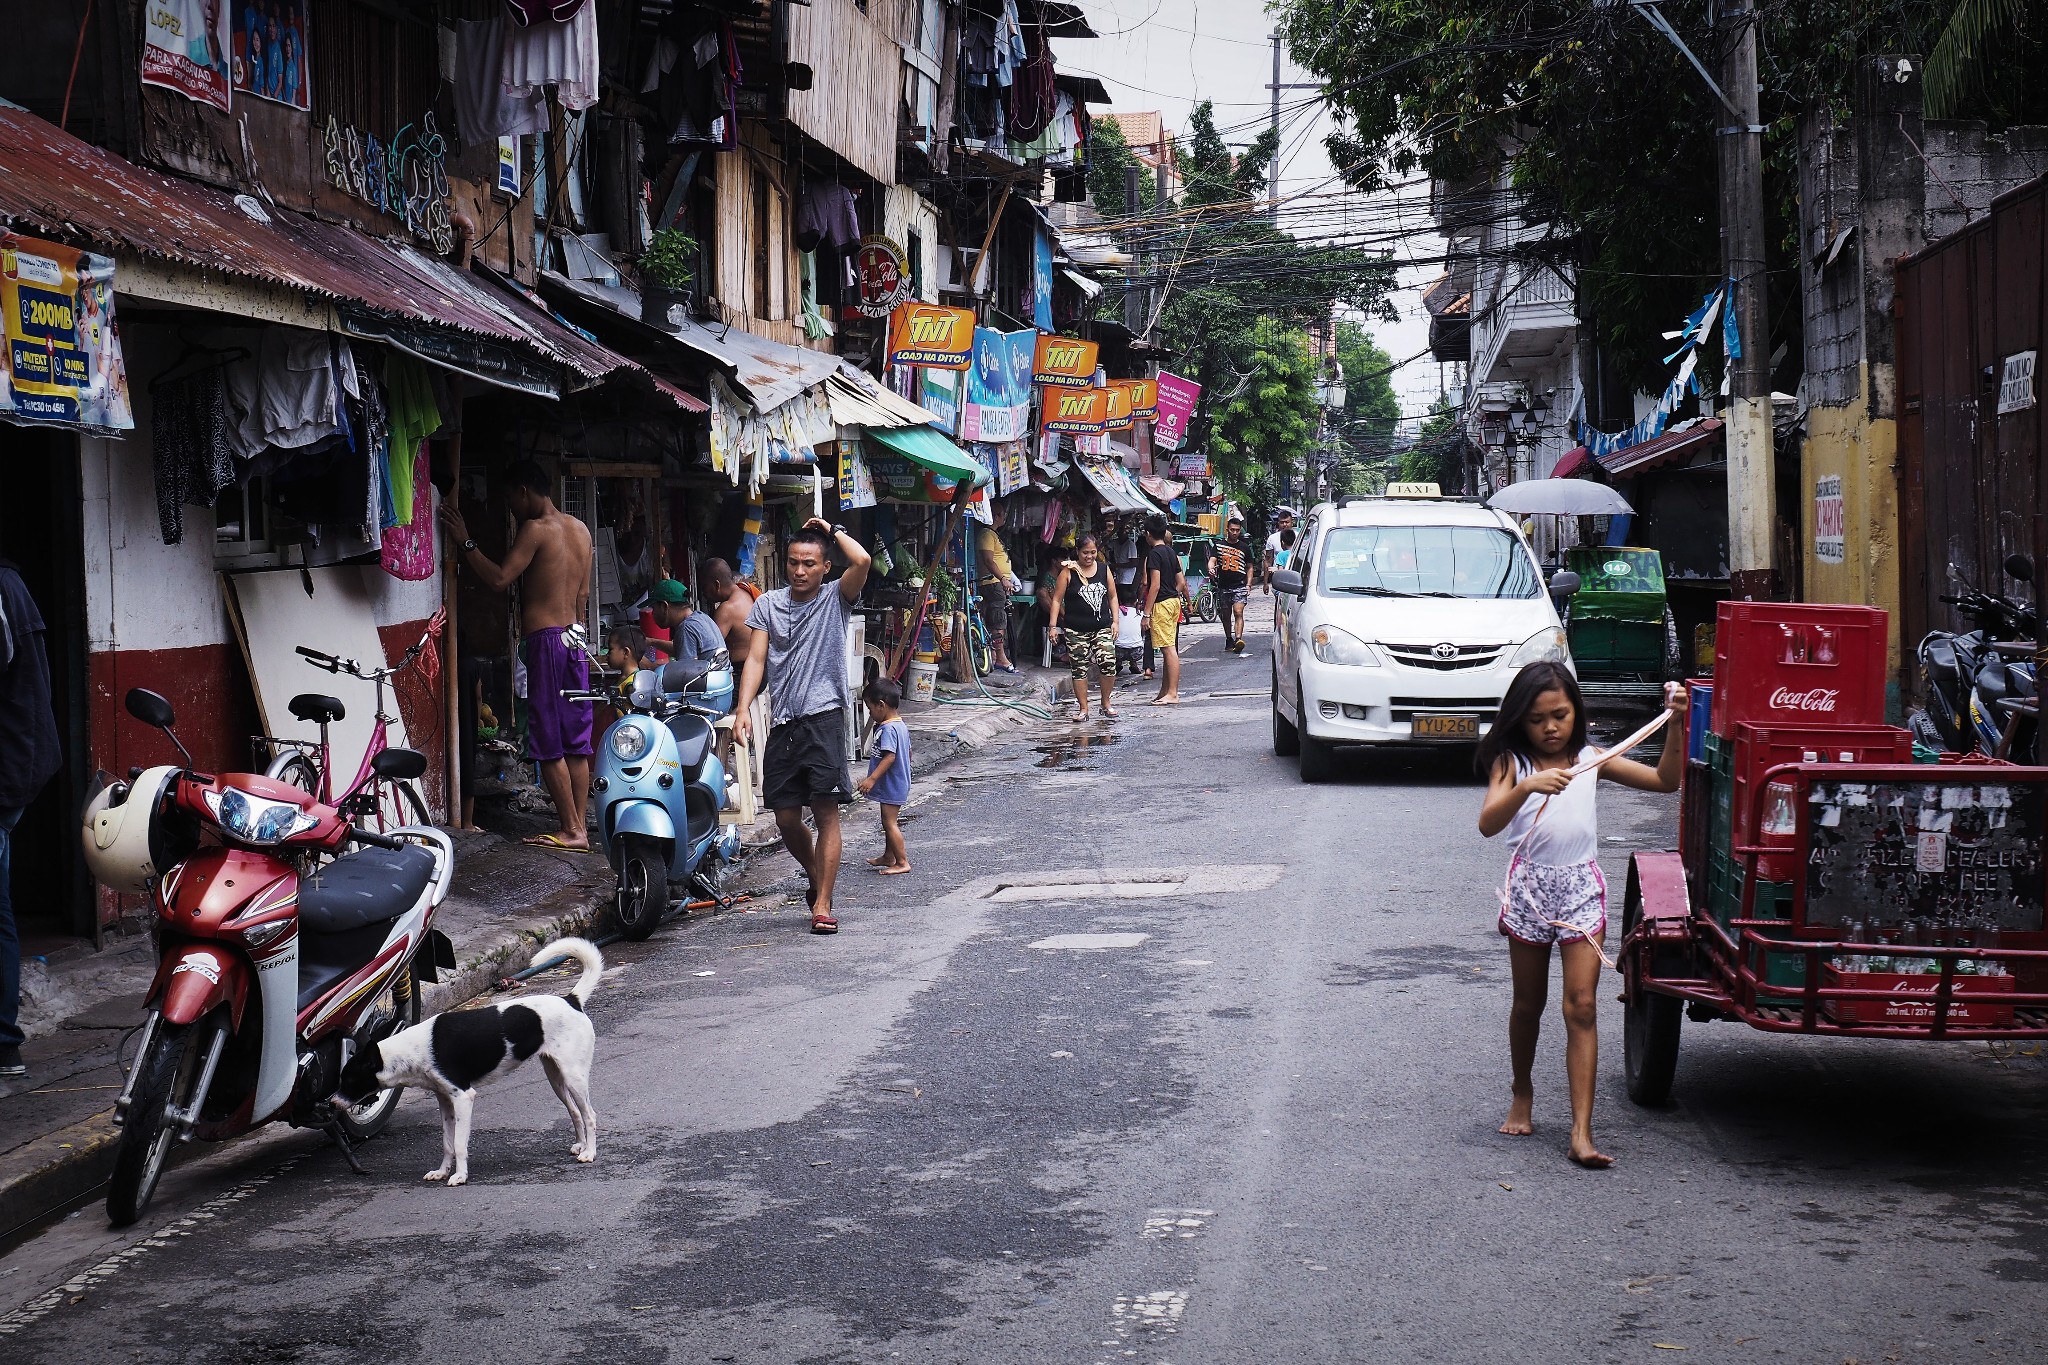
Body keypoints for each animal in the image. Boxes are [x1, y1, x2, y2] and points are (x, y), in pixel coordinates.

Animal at [335, 941, 602, 1186]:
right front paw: (442, 1172)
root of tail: (571, 1000)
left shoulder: (463, 1097)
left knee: (589, 1114)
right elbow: (447, 1143)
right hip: (556, 1078)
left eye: (350, 1079)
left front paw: (460, 1176)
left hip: (574, 1077)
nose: (332, 1103)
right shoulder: (445, 1101)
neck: (413, 1049)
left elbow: (460, 1144)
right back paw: (581, 1145)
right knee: (575, 1111)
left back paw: (589, 1152)